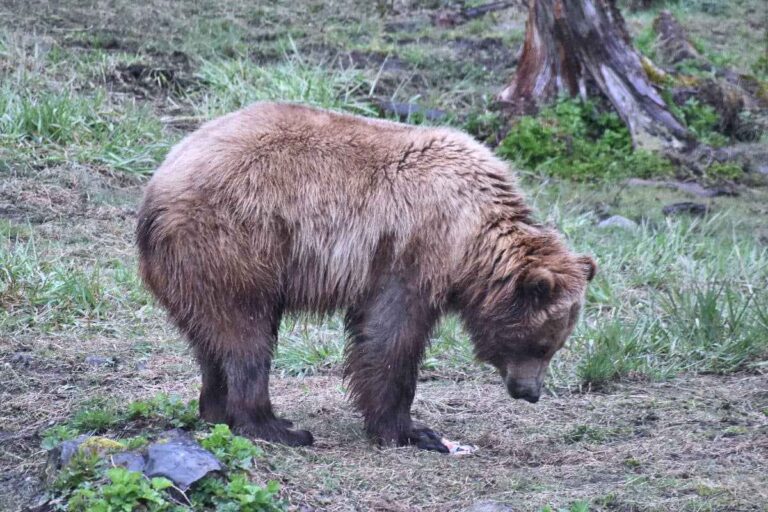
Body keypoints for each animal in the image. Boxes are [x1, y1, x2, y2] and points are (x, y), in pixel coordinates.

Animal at [137, 102, 596, 452]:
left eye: (556, 345)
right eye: (543, 344)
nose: (530, 392)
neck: (471, 237)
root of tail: (158, 185)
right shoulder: (413, 251)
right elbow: (391, 335)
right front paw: (413, 431)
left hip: (193, 268)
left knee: (211, 337)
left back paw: (217, 409)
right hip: (236, 242)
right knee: (245, 332)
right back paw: (277, 426)